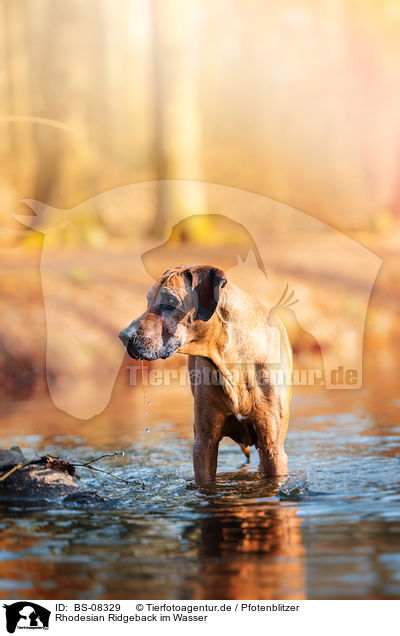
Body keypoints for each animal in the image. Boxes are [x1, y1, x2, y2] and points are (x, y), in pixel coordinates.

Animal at [117, 264, 292, 482]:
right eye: (148, 300)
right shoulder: (204, 443)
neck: (231, 362)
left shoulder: (272, 447)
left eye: (170, 302)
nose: (124, 336)